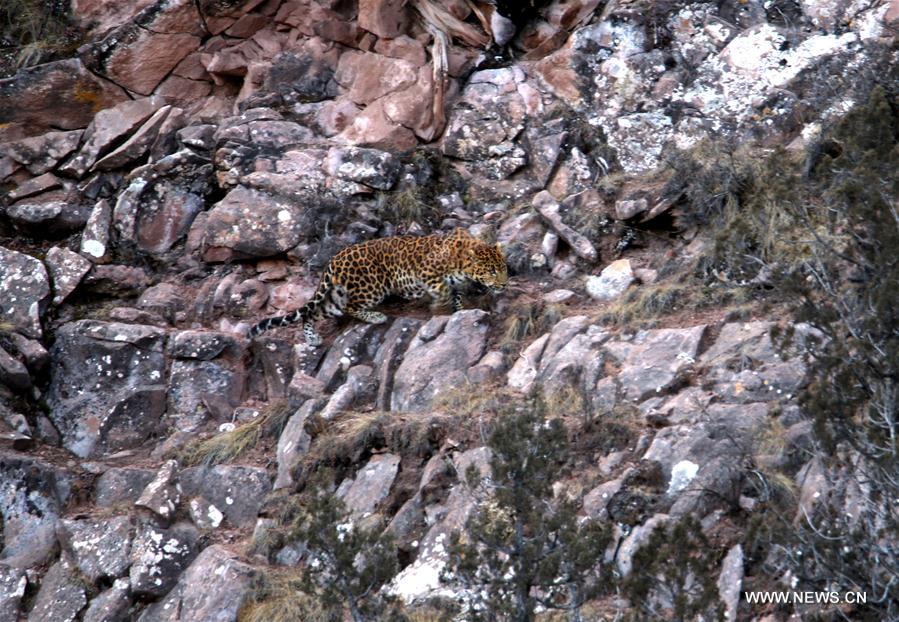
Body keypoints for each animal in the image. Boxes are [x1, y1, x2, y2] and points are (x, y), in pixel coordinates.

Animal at [250, 229, 510, 346]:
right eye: (491, 271)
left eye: (503, 268)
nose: (504, 283)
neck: (462, 262)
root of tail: (335, 259)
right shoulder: (428, 273)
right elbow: (443, 292)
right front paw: (439, 308)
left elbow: (456, 295)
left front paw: (459, 309)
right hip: (372, 286)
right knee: (351, 307)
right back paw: (376, 317)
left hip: (336, 296)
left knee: (313, 313)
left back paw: (312, 339)